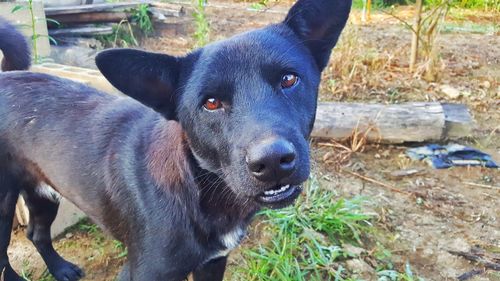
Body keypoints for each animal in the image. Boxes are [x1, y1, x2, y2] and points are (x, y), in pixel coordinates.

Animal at [0, 1, 352, 278]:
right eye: (211, 102)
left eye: (289, 79)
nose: (272, 161)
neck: (202, 190)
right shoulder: (140, 272)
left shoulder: (213, 264)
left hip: (43, 193)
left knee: (37, 234)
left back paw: (60, 269)